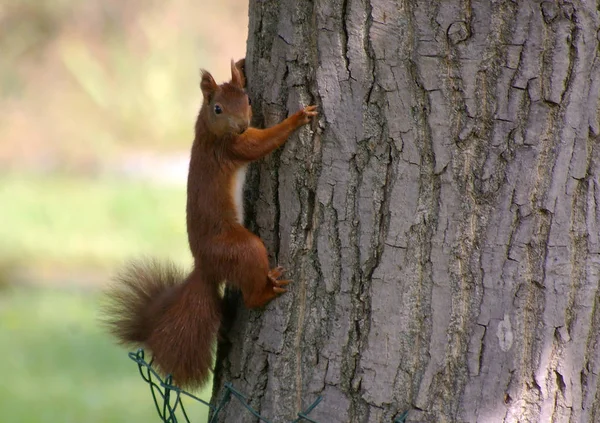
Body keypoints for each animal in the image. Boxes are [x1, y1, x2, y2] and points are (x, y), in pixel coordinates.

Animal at [103, 60, 318, 390]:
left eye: (248, 100)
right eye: (217, 108)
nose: (241, 125)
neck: (207, 129)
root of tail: (204, 266)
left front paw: (239, 66)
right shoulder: (232, 148)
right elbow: (261, 144)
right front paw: (297, 118)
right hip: (240, 247)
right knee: (251, 294)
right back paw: (267, 291)